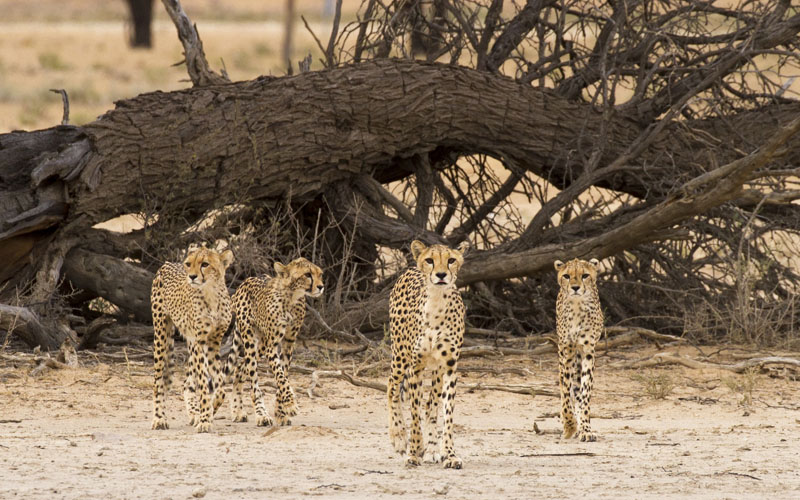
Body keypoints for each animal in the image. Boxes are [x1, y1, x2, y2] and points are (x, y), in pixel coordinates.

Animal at [150, 244, 233, 432]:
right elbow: (202, 382)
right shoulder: (199, 342)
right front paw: (205, 419)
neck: (211, 294)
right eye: (188, 264)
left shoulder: (213, 343)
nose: (192, 276)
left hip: (189, 341)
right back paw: (159, 418)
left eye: (205, 264)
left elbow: (220, 387)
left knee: (186, 382)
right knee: (158, 380)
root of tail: (166, 263)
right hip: (161, 332)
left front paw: (209, 411)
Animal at [227, 258, 324, 426]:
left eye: (320, 274)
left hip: (260, 345)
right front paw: (291, 403)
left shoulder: (289, 343)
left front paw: (281, 412)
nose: (321, 286)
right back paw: (261, 414)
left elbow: (283, 375)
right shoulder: (272, 345)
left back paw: (238, 411)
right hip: (251, 340)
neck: (291, 297)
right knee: (252, 379)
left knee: (239, 367)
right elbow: (280, 377)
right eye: (307, 274)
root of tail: (246, 280)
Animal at [388, 240, 468, 466]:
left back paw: (432, 449)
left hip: (436, 371)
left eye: (451, 260)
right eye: (430, 260)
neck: (436, 305)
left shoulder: (449, 367)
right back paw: (399, 438)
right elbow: (414, 413)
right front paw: (414, 451)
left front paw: (449, 454)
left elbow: (446, 413)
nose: (441, 274)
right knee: (391, 388)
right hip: (399, 356)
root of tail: (410, 269)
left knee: (431, 405)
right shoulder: (415, 366)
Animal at [552, 258, 604, 442]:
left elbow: (585, 391)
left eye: (585, 275)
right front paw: (569, 426)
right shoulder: (566, 350)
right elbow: (566, 393)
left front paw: (585, 429)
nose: (575, 287)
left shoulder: (588, 350)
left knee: (578, 390)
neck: (577, 306)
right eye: (567, 276)